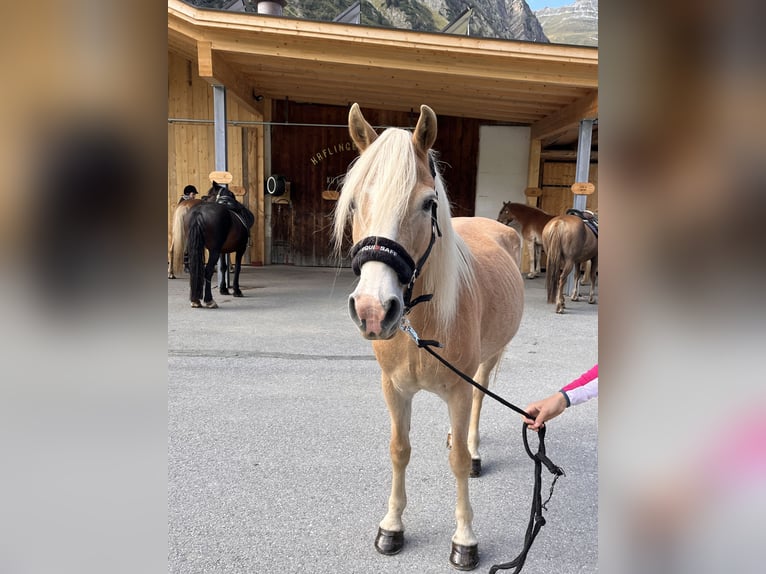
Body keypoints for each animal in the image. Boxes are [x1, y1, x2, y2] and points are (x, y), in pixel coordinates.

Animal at [332, 104, 524, 572]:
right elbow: (399, 450)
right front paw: (391, 526)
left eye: (428, 203)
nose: (372, 309)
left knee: (479, 400)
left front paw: (465, 539)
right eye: (356, 200)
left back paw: (472, 446)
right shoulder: (394, 389)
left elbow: (457, 462)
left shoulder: (458, 388)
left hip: (488, 360)